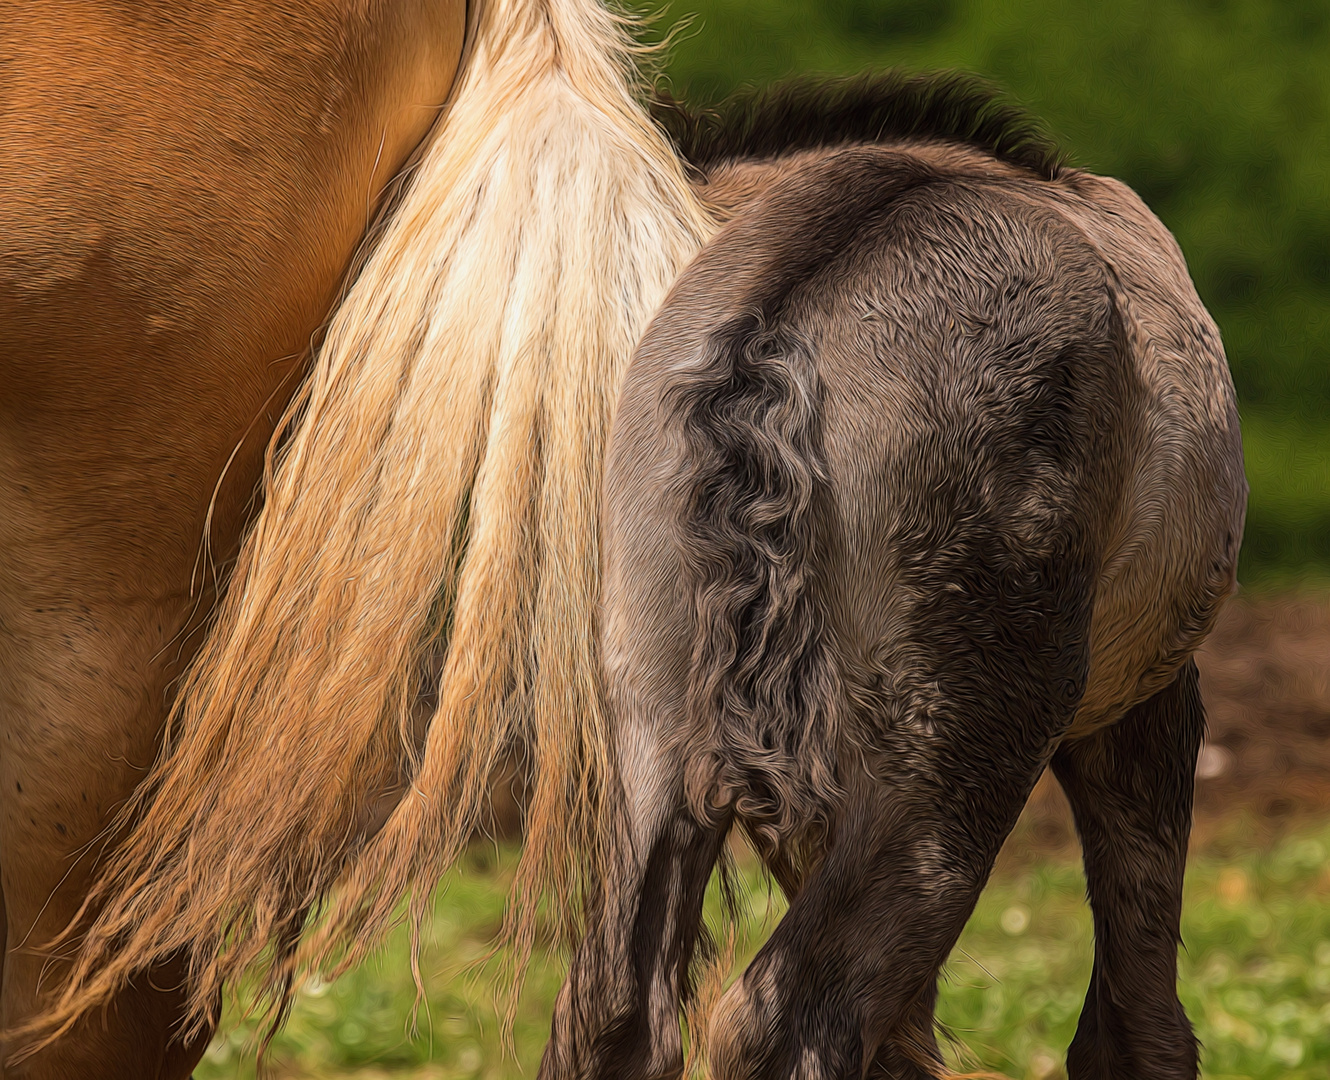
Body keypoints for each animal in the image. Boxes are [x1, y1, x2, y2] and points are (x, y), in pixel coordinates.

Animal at [539, 78, 1244, 1080]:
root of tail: (768, 342)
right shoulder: (1143, 698)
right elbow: (1135, 996)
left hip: (655, 742)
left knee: (613, 1008)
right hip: (954, 765)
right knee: (792, 1017)